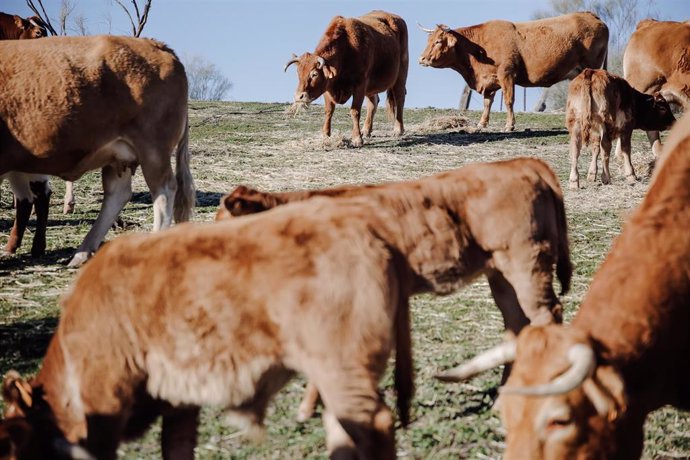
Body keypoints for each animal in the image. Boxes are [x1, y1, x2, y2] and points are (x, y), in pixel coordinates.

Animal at [0, 36, 194, 268]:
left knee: (164, 192)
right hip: (119, 155)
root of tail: (156, 44)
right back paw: (82, 252)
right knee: (118, 193)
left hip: (153, 150)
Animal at [218, 159, 572, 424]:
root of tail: (521, 164)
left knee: (547, 316)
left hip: (526, 261)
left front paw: (308, 410)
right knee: (517, 325)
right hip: (501, 274)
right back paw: (502, 400)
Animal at [284, 10, 408, 147]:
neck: (346, 49)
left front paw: (357, 138)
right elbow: (329, 111)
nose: (299, 96)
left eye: (314, 74)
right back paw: (366, 130)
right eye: (298, 73)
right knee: (373, 103)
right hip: (371, 86)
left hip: (400, 76)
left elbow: (355, 111)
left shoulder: (360, 86)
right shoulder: (328, 88)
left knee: (399, 98)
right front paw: (325, 134)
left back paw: (398, 129)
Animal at [416, 10, 604, 132]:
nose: (421, 59)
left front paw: (509, 125)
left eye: (438, 41)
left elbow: (508, 100)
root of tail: (590, 15)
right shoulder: (490, 81)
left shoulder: (506, 75)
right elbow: (487, 103)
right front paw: (482, 124)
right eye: (428, 40)